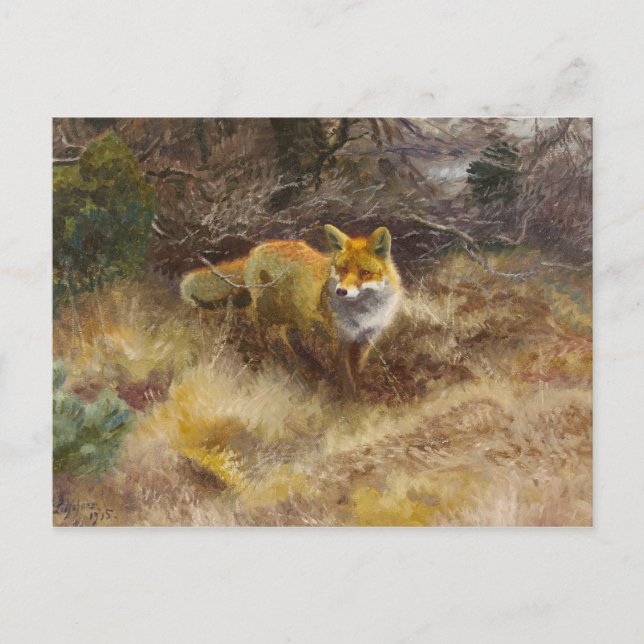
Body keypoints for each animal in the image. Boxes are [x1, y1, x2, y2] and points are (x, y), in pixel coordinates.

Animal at [180, 225, 401, 395]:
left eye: (364, 273)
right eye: (343, 269)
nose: (341, 291)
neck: (363, 314)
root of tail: (257, 249)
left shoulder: (365, 340)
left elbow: (357, 371)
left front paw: (359, 393)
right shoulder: (341, 340)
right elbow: (348, 377)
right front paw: (351, 402)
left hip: (295, 318)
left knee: (289, 337)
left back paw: (310, 366)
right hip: (267, 312)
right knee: (263, 333)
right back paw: (273, 360)